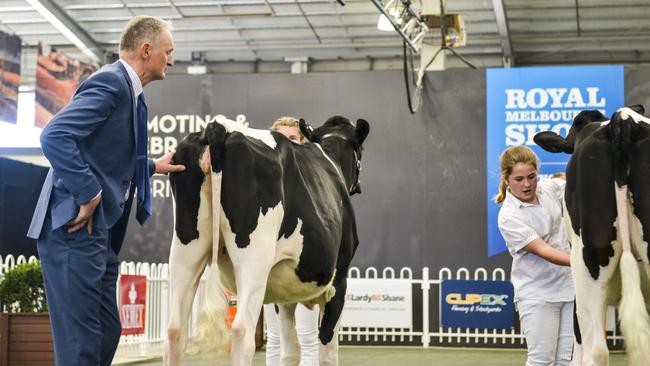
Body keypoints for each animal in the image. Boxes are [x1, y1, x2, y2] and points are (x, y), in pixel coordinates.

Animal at [165, 115, 368, 366]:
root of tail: (219, 126)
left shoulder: (284, 292)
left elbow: (289, 351)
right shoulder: (338, 283)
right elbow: (327, 352)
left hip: (185, 251)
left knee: (175, 330)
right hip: (254, 259)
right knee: (242, 331)